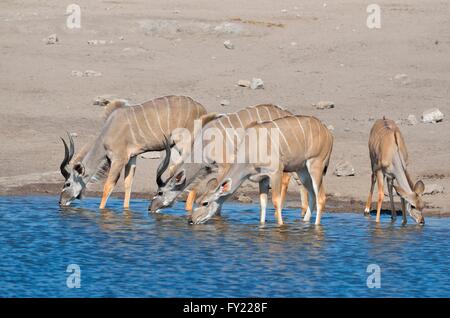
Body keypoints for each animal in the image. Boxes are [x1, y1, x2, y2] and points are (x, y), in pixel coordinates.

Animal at [59, 95, 208, 209]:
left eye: (67, 184)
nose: (60, 202)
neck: (108, 132)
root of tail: (202, 109)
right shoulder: (132, 157)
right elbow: (128, 184)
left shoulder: (119, 159)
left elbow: (108, 186)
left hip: (184, 144)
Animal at [149, 103, 312, 222]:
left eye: (160, 192)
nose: (150, 208)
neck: (204, 144)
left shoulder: (225, 165)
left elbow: (218, 191)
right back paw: (303, 213)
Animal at [190, 115, 334, 225]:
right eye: (197, 201)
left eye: (205, 203)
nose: (190, 220)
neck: (251, 146)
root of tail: (327, 132)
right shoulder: (263, 178)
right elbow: (263, 203)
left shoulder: (276, 172)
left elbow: (276, 201)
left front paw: (281, 225)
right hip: (302, 170)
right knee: (312, 195)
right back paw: (305, 222)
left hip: (316, 165)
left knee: (321, 197)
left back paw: (316, 227)